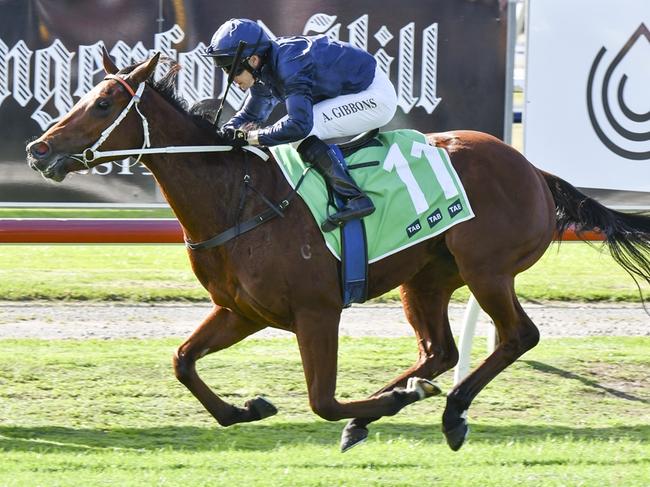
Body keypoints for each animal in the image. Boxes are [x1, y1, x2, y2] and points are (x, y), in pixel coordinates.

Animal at [25, 51, 648, 452]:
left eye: (105, 103)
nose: (38, 150)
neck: (237, 197)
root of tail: (534, 171)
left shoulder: (316, 311)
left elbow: (322, 401)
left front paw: (379, 408)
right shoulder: (242, 311)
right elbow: (183, 360)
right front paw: (245, 408)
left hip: (487, 270)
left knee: (518, 336)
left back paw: (446, 410)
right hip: (425, 278)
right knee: (439, 351)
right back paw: (405, 395)